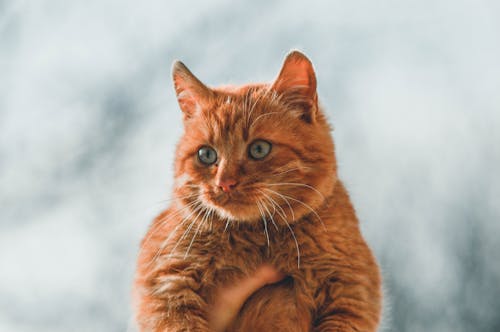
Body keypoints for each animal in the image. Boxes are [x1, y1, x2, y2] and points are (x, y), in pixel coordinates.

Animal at [135, 50, 380, 330]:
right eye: (206, 154)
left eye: (259, 149)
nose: (225, 182)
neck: (258, 235)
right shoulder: (166, 285)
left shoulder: (352, 292)